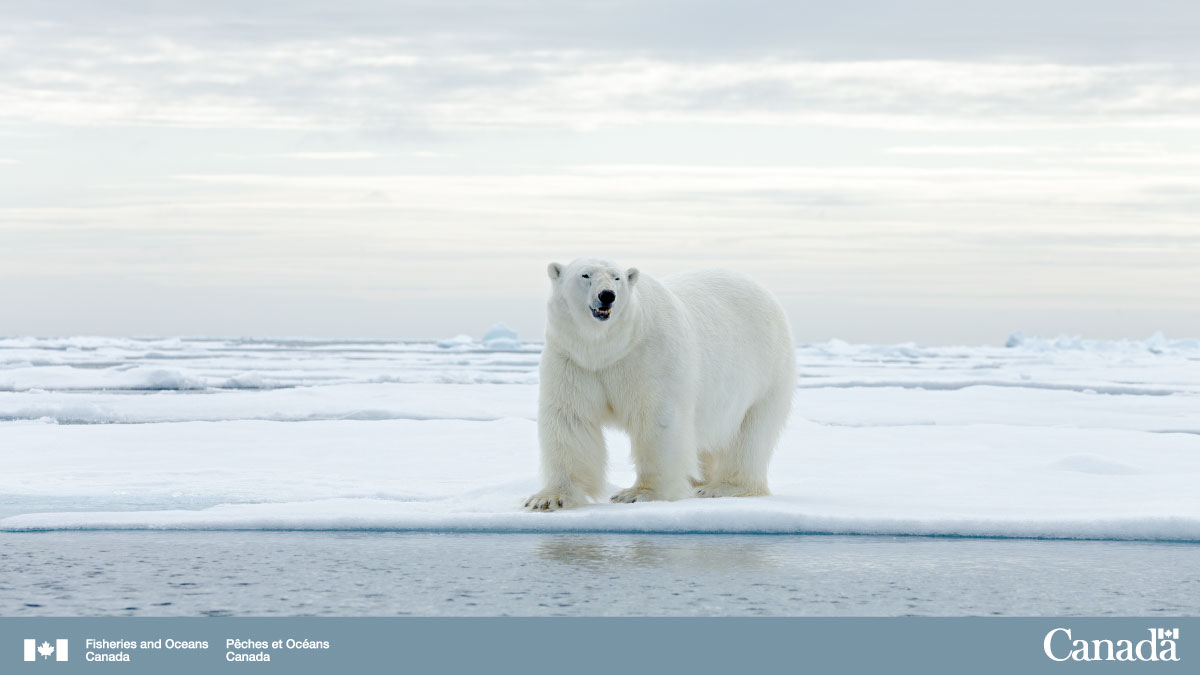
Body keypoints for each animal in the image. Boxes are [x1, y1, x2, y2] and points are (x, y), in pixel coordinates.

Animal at [524, 258, 796, 511]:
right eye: (585, 275)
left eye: (616, 277)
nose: (607, 295)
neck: (607, 348)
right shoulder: (574, 361)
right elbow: (571, 418)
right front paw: (548, 498)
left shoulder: (650, 356)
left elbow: (658, 419)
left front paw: (639, 494)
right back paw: (699, 482)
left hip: (766, 372)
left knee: (750, 434)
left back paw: (721, 487)